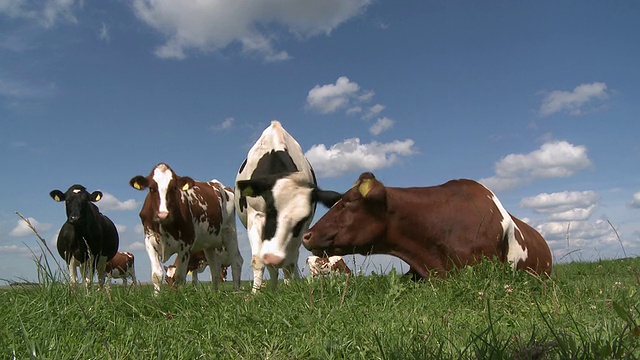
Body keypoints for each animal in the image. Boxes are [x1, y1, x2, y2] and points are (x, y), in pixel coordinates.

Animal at [130, 163, 242, 296]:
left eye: (174, 188)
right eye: (151, 188)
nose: (163, 214)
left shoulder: (186, 244)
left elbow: (180, 276)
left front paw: (178, 297)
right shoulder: (149, 240)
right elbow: (156, 275)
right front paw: (156, 297)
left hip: (230, 232)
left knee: (236, 261)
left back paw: (236, 291)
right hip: (209, 244)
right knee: (214, 270)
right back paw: (214, 294)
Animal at [235, 121, 342, 292]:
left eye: (301, 220)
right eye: (270, 210)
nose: (273, 257)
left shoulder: (302, 229)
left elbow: (289, 263)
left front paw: (288, 288)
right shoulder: (255, 216)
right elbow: (259, 260)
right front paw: (256, 293)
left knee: (292, 260)